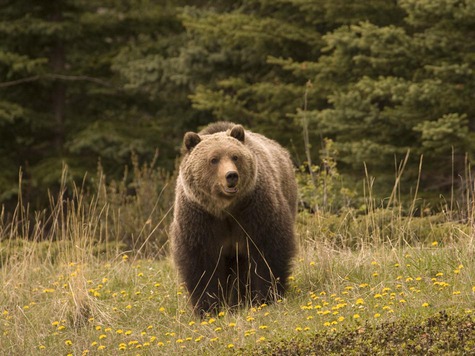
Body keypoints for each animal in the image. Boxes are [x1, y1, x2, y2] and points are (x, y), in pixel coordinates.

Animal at [171, 121, 298, 314]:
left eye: (235, 156)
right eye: (213, 159)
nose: (231, 175)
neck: (226, 209)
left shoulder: (254, 210)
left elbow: (267, 251)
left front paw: (267, 297)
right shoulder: (200, 218)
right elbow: (201, 264)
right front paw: (208, 307)